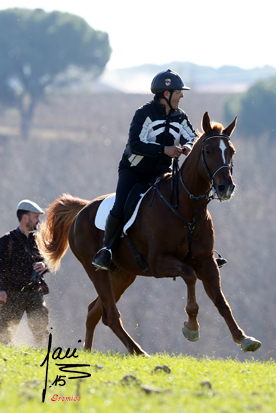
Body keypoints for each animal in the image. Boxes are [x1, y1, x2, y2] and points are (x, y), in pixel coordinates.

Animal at [37, 112, 262, 354]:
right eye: (209, 150)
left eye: (231, 151)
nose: (225, 188)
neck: (187, 209)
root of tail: (82, 209)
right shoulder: (158, 262)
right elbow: (190, 276)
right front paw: (192, 327)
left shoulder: (206, 262)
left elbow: (221, 301)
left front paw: (243, 337)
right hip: (95, 268)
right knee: (110, 315)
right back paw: (138, 351)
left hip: (123, 274)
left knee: (95, 312)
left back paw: (91, 350)